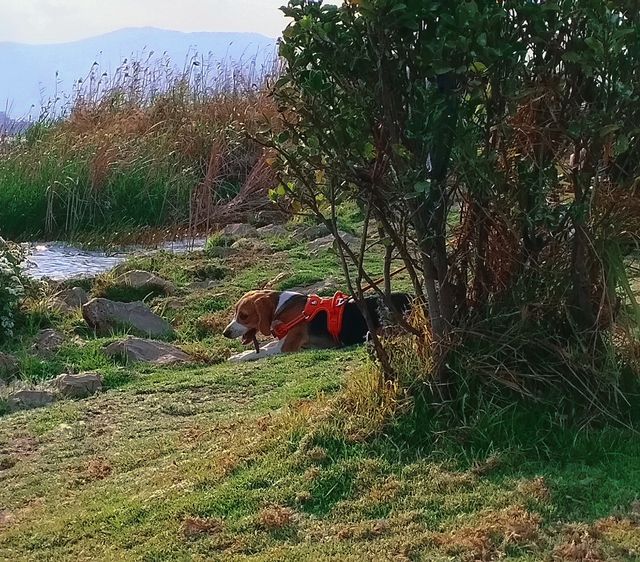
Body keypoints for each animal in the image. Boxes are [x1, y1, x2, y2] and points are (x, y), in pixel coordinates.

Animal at [222, 288, 410, 364]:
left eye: (243, 316)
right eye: (235, 312)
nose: (225, 333)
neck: (281, 308)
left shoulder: (286, 347)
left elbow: (257, 352)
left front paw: (238, 357)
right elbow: (263, 347)